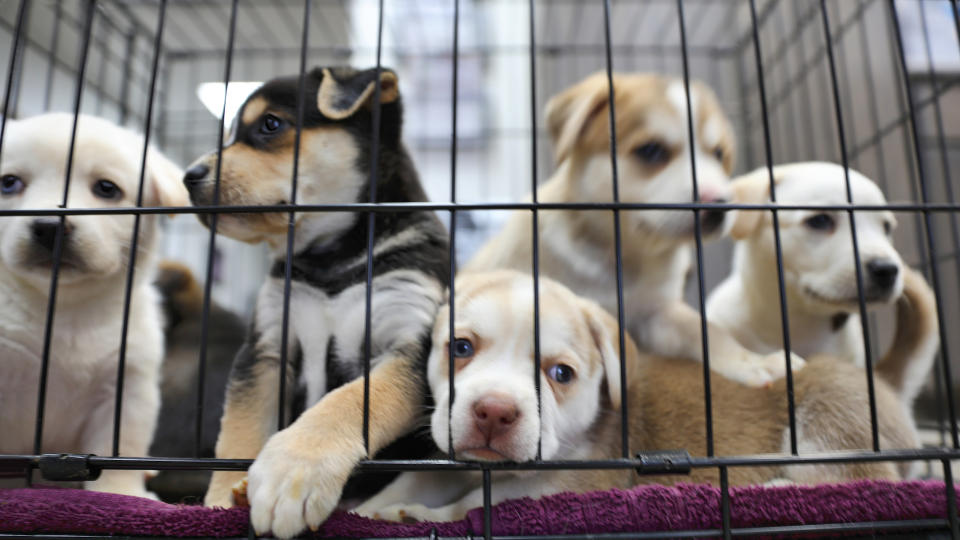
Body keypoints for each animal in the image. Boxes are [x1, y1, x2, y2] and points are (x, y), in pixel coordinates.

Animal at [0, 114, 188, 498]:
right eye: (8, 183)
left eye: (106, 188)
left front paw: (123, 492)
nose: (50, 227)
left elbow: (121, 450)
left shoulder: (128, 389)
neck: (65, 309)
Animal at [354, 270, 924, 524]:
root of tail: (882, 382)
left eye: (560, 373)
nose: (494, 411)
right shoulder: (449, 458)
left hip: (828, 415)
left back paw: (772, 488)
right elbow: (413, 479)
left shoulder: (567, 483)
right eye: (461, 347)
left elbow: (478, 505)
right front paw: (368, 508)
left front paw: (422, 517)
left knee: (860, 477)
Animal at [466, 71, 804, 388]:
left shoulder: (658, 314)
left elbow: (705, 329)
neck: (621, 255)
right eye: (651, 150)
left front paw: (751, 361)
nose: (719, 206)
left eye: (718, 154)